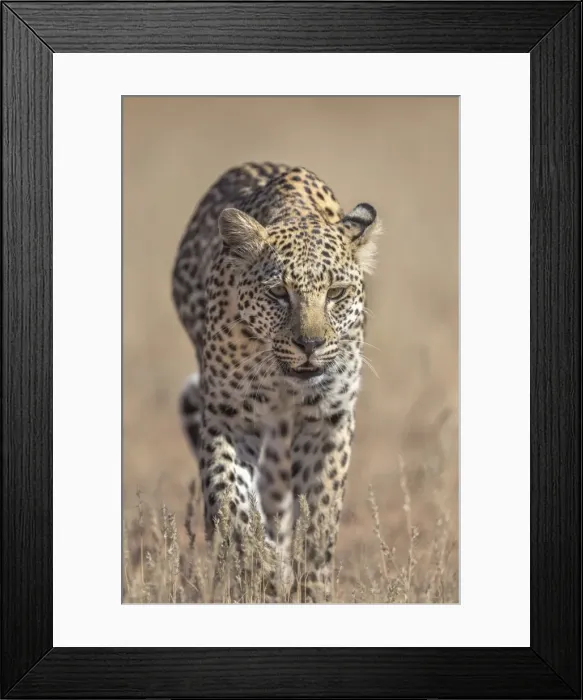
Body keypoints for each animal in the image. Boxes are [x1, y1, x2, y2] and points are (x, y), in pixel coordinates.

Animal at [171, 161, 381, 601]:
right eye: (278, 293)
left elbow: (319, 516)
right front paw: (260, 570)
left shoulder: (328, 419)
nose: (310, 344)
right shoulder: (229, 417)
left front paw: (311, 587)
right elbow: (231, 502)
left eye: (336, 293)